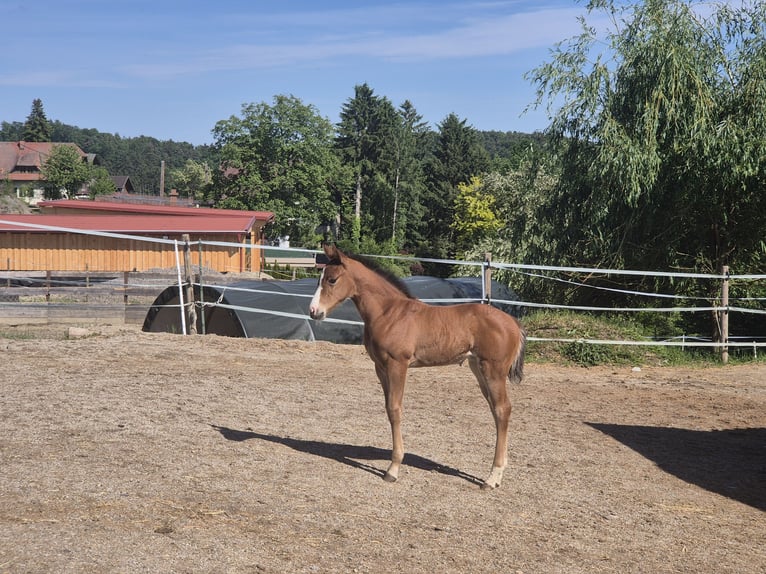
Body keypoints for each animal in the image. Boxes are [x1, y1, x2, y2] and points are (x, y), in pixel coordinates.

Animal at [309, 244, 526, 489]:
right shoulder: (380, 367)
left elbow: (395, 409)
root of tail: (514, 323)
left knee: (502, 409)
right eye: (320, 279)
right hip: (477, 368)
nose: (314, 311)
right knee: (496, 410)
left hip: (493, 370)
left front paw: (393, 469)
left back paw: (492, 477)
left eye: (332, 280)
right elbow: (388, 409)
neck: (389, 312)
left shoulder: (398, 364)